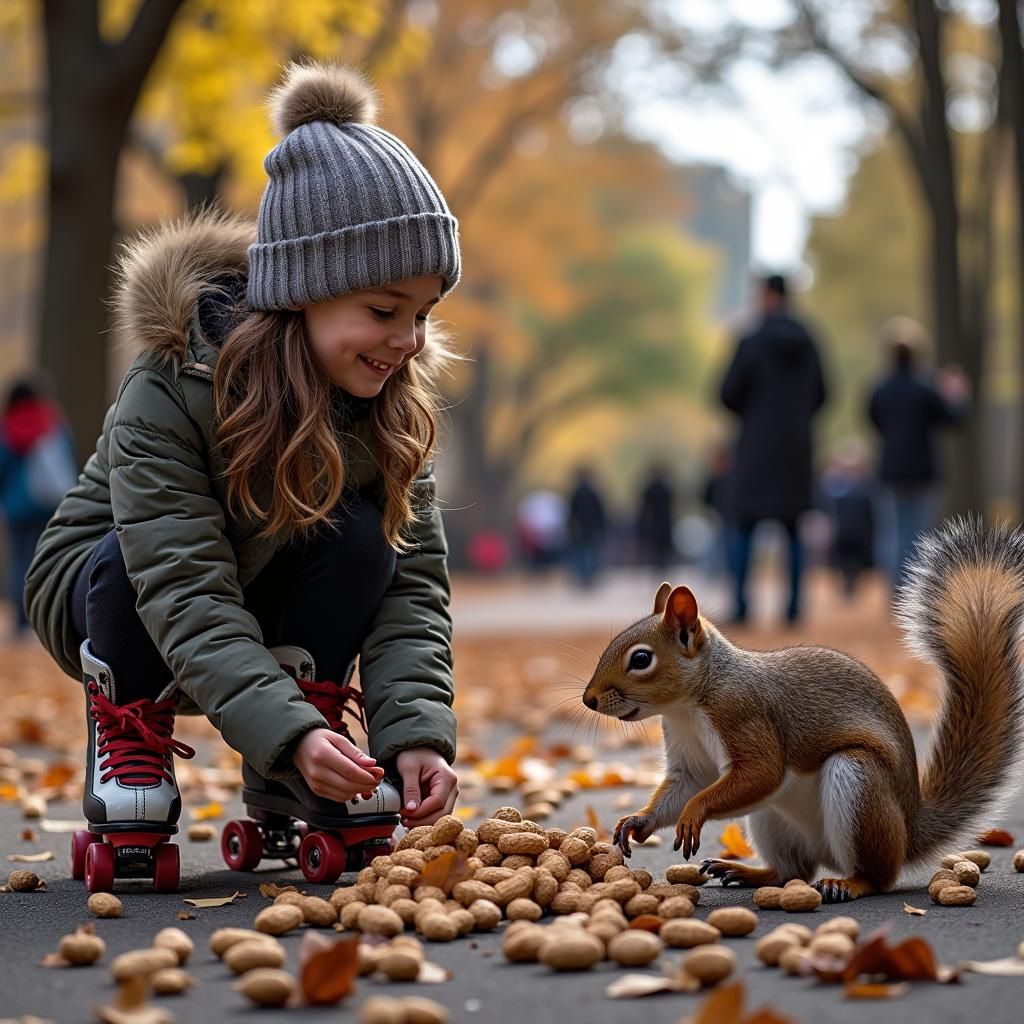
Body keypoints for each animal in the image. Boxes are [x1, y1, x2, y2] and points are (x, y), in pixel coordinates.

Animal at [581, 518, 1024, 902]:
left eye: (641, 659)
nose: (589, 700)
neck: (688, 706)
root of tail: (910, 829)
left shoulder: (743, 713)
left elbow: (762, 772)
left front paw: (694, 813)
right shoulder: (688, 752)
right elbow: (689, 782)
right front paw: (638, 821)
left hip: (859, 781)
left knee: (876, 875)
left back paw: (850, 883)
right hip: (773, 821)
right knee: (792, 871)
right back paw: (749, 872)